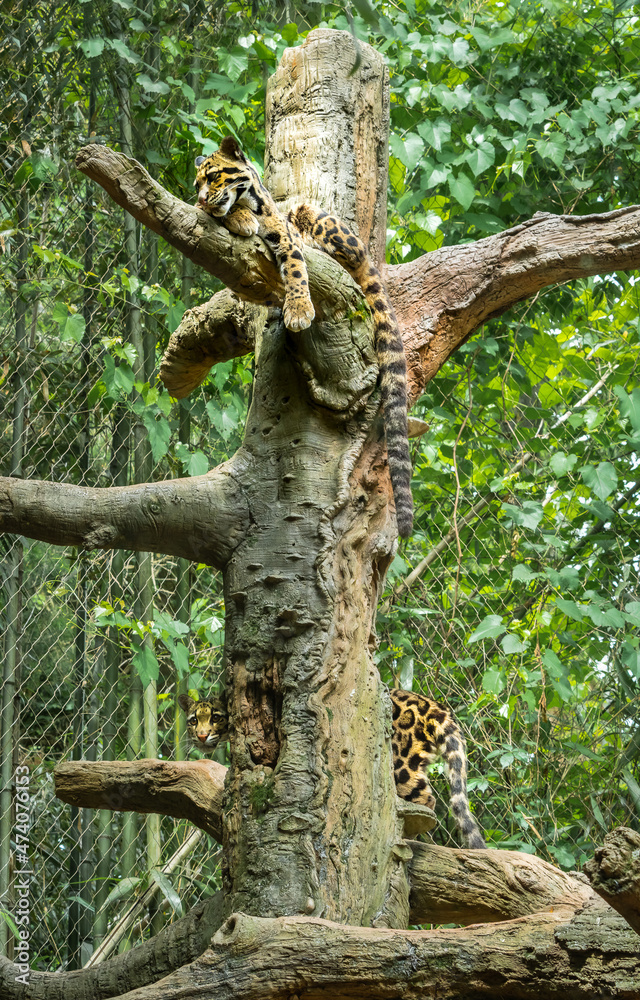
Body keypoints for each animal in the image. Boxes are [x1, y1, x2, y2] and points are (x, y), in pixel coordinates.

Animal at [178, 687, 485, 849]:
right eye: (193, 720)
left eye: (216, 717)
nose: (202, 736)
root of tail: (432, 705)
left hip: (401, 767)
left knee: (425, 801)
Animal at [194, 137, 413, 537]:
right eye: (197, 184)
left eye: (213, 176)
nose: (202, 197)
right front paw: (238, 219)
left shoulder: (287, 235)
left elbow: (296, 269)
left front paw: (298, 309)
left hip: (315, 215)